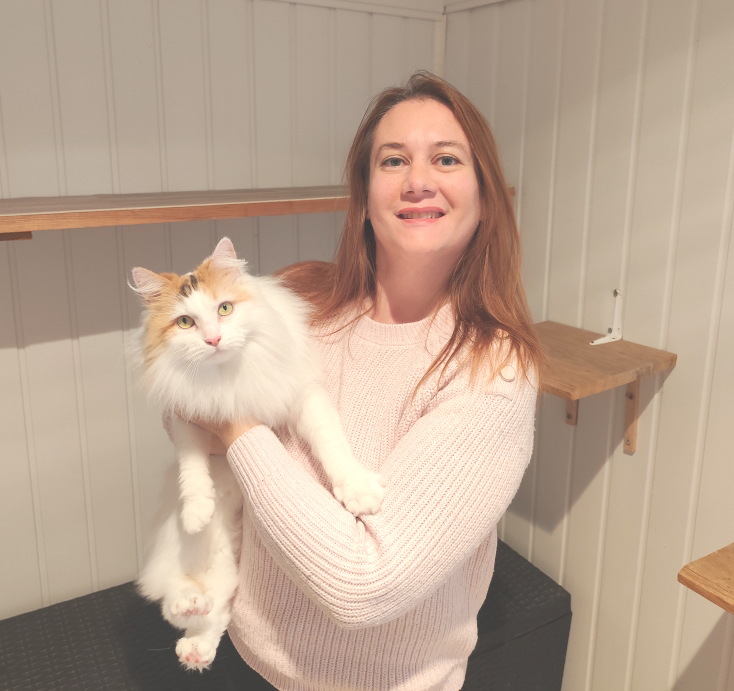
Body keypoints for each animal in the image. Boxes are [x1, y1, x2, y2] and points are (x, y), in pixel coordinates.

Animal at [131, 237, 385, 670]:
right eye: (185, 323)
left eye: (224, 309)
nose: (213, 340)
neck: (228, 378)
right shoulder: (188, 418)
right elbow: (191, 468)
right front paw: (197, 511)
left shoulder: (302, 396)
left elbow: (331, 443)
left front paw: (357, 491)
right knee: (178, 604)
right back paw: (190, 614)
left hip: (226, 566)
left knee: (215, 607)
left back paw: (196, 641)